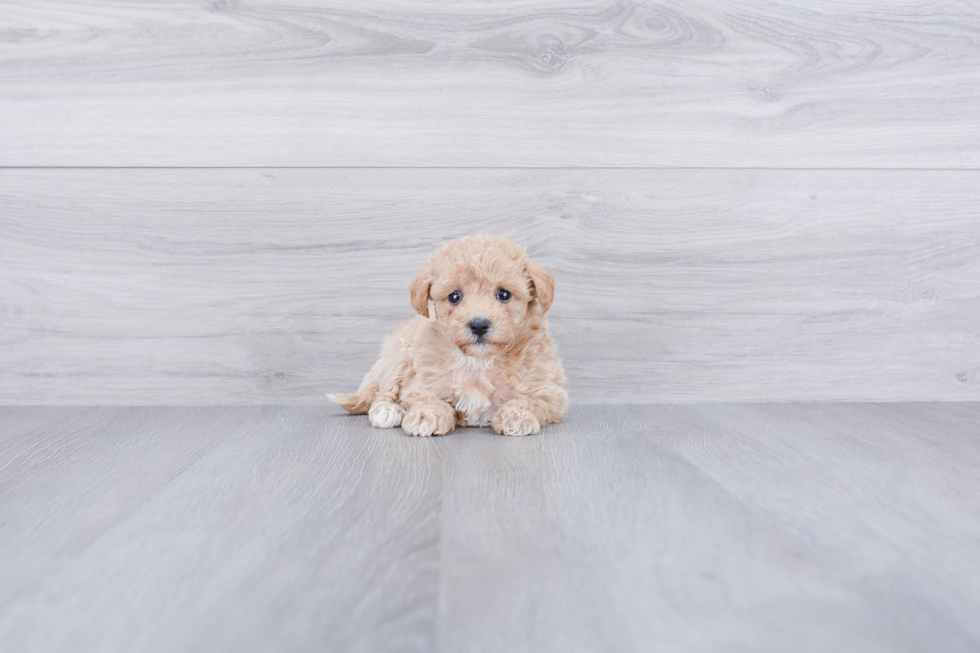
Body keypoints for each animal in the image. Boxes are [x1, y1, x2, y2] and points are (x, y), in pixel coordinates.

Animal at [334, 236, 572, 438]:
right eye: (455, 297)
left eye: (504, 294)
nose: (479, 324)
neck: (479, 361)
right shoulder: (421, 383)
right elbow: (428, 399)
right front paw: (427, 416)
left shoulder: (550, 392)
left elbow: (529, 401)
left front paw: (517, 416)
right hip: (398, 355)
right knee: (383, 392)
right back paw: (387, 411)